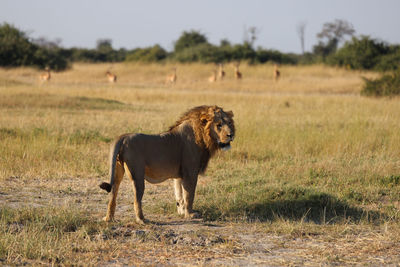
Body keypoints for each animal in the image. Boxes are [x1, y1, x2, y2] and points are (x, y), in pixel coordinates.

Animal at [99, 104, 234, 224]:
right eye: (219, 125)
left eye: (229, 123)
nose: (231, 135)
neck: (202, 135)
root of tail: (123, 137)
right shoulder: (190, 172)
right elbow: (189, 194)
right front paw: (190, 214)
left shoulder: (180, 175)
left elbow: (180, 195)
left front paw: (181, 212)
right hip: (137, 175)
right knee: (137, 199)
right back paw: (142, 220)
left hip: (117, 171)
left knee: (113, 194)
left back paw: (108, 218)